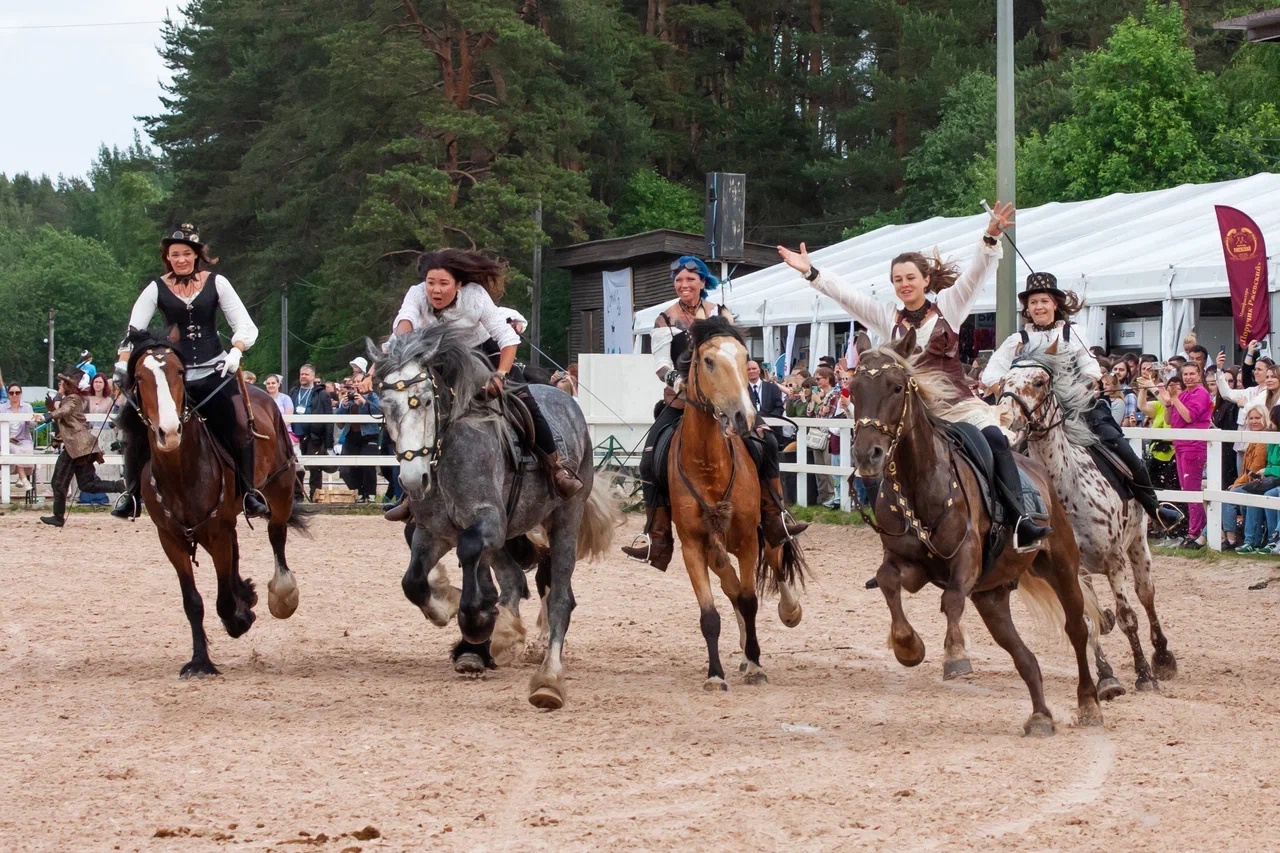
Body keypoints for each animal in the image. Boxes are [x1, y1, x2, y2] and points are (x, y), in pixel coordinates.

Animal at [373, 322, 616, 706]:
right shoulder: (434, 531)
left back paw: (548, 678)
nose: (413, 480)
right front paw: (450, 612)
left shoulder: (488, 522)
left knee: (560, 598)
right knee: (513, 581)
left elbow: (472, 557)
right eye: (385, 407)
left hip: (565, 517)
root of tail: (569, 402)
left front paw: (476, 621)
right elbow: (413, 582)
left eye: (424, 400)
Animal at [849, 327, 1100, 732]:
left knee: (1077, 629)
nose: (866, 454)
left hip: (1061, 568)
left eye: (897, 387)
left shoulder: (966, 559)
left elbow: (951, 600)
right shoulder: (906, 563)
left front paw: (954, 656)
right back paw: (1040, 716)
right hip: (992, 597)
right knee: (1024, 656)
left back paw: (1090, 703)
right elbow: (888, 582)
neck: (921, 484)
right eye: (853, 390)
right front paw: (907, 646)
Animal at [998, 335, 1177, 696]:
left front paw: (1144, 674)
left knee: (1146, 595)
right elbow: (1088, 618)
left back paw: (1163, 657)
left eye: (1039, 382)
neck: (1068, 489)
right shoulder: (1075, 568)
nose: (1008, 420)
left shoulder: (1113, 561)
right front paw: (1106, 678)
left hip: (1138, 544)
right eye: (1005, 382)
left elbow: (1127, 616)